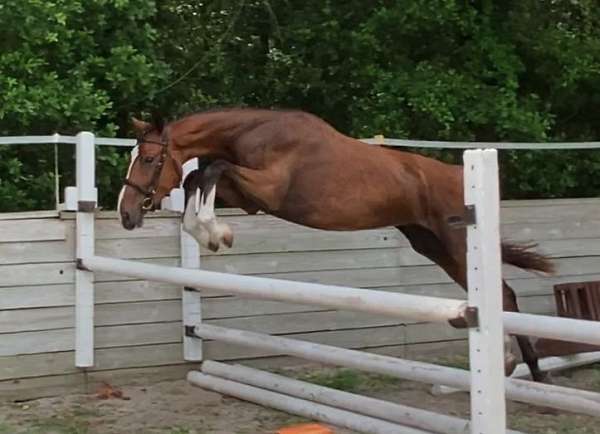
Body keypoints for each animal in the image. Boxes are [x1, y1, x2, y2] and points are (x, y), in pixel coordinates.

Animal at [119, 107, 556, 382]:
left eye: (148, 160)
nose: (126, 214)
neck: (256, 132)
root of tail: (459, 174)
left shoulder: (269, 190)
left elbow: (213, 169)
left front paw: (216, 233)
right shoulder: (250, 197)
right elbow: (200, 176)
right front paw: (207, 232)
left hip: (455, 240)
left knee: (503, 293)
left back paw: (525, 368)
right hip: (432, 245)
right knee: (497, 294)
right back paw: (520, 368)